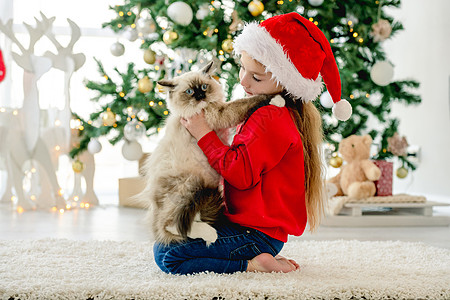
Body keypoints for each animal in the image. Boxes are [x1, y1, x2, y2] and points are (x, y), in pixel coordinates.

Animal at [140, 61, 284, 246]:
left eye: (203, 87)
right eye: (189, 92)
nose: (200, 96)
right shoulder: (221, 113)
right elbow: (251, 100)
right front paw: (278, 99)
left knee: (183, 223)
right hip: (190, 186)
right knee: (171, 225)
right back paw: (211, 235)